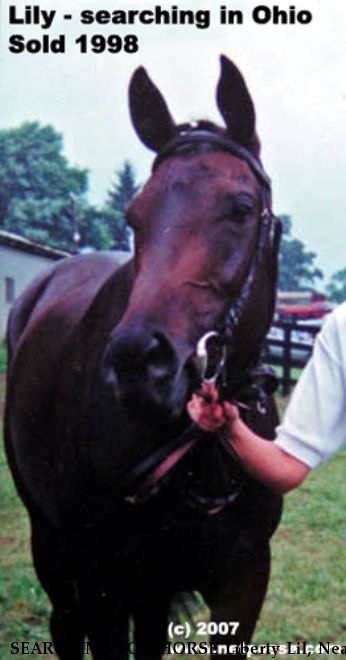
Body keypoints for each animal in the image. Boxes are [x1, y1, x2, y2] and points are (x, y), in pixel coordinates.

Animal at [4, 58, 282, 660]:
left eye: (242, 208)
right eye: (134, 216)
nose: (140, 362)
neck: (200, 453)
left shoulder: (243, 581)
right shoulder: (103, 583)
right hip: (51, 545)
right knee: (64, 624)